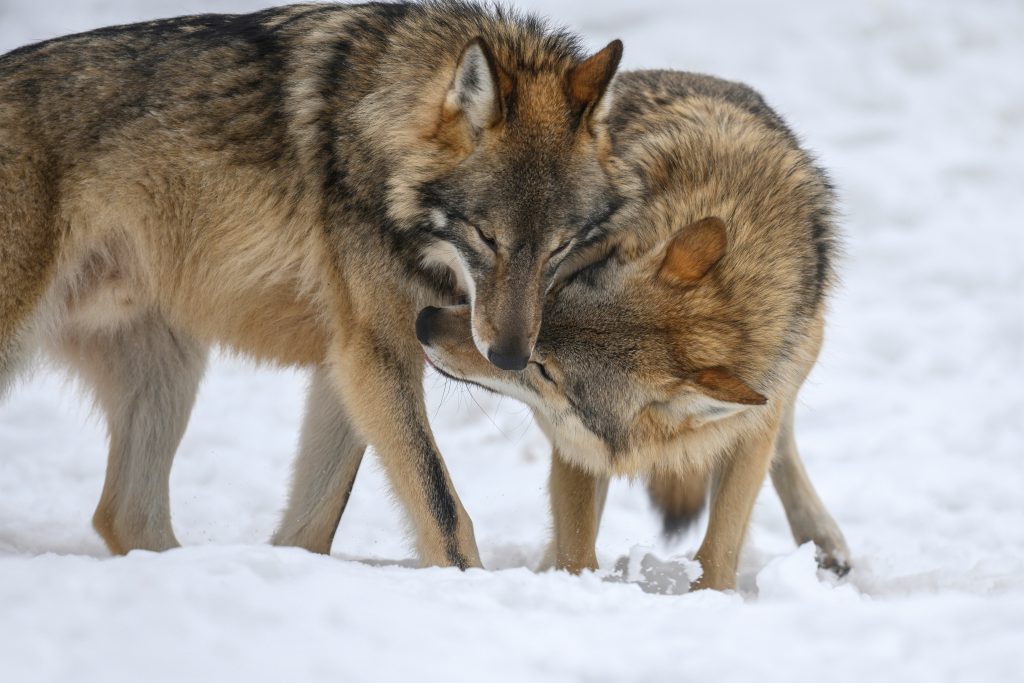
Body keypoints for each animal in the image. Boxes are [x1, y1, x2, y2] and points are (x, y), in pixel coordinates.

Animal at [0, 0, 622, 565]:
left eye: (558, 248)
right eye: (486, 237)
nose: (512, 358)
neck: (377, 127)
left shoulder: (349, 361)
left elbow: (315, 522)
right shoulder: (374, 354)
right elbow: (442, 507)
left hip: (170, 369)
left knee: (123, 514)